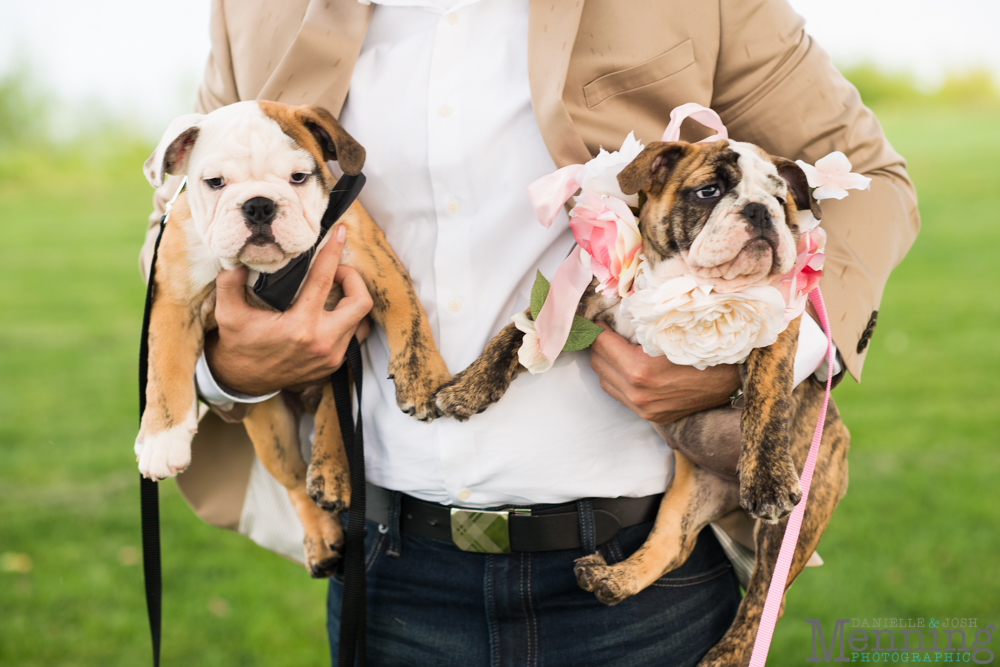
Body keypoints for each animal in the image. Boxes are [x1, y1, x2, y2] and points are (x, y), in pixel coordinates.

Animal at [136, 100, 450, 580]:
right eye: (214, 183)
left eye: (299, 178)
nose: (259, 206)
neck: (271, 274)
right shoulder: (175, 298)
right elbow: (165, 370)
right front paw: (161, 440)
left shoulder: (372, 260)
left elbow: (407, 316)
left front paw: (422, 378)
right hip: (271, 429)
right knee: (294, 481)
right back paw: (321, 538)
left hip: (342, 368)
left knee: (334, 414)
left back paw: (331, 473)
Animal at [434, 138, 848, 664]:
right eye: (709, 192)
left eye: (781, 200)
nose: (759, 210)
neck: (687, 284)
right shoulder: (575, 302)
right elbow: (515, 333)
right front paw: (468, 387)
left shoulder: (775, 330)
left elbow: (766, 397)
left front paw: (768, 477)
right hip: (689, 492)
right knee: (674, 545)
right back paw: (613, 579)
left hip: (795, 523)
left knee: (763, 599)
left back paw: (726, 653)